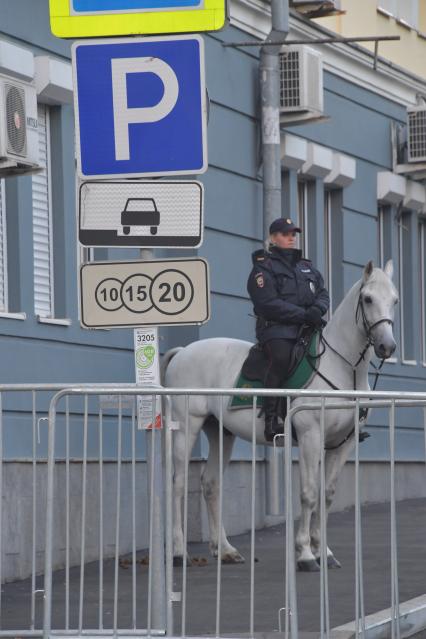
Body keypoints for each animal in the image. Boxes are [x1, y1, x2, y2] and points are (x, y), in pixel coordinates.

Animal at [162, 262, 396, 572]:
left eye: (395, 300)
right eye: (368, 299)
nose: (387, 347)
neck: (341, 368)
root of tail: (182, 353)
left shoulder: (341, 444)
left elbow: (327, 495)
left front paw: (324, 552)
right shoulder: (310, 437)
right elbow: (309, 493)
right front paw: (306, 555)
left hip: (220, 432)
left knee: (211, 484)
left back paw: (225, 550)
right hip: (187, 426)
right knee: (178, 483)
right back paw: (178, 553)